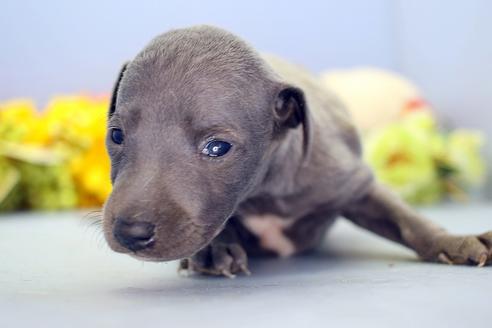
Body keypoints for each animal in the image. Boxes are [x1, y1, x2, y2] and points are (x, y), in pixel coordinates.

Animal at [102, 25, 490, 276]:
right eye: (116, 135)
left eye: (217, 147)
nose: (130, 232)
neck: (265, 189)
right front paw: (215, 249)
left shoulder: (351, 182)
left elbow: (405, 218)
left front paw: (454, 241)